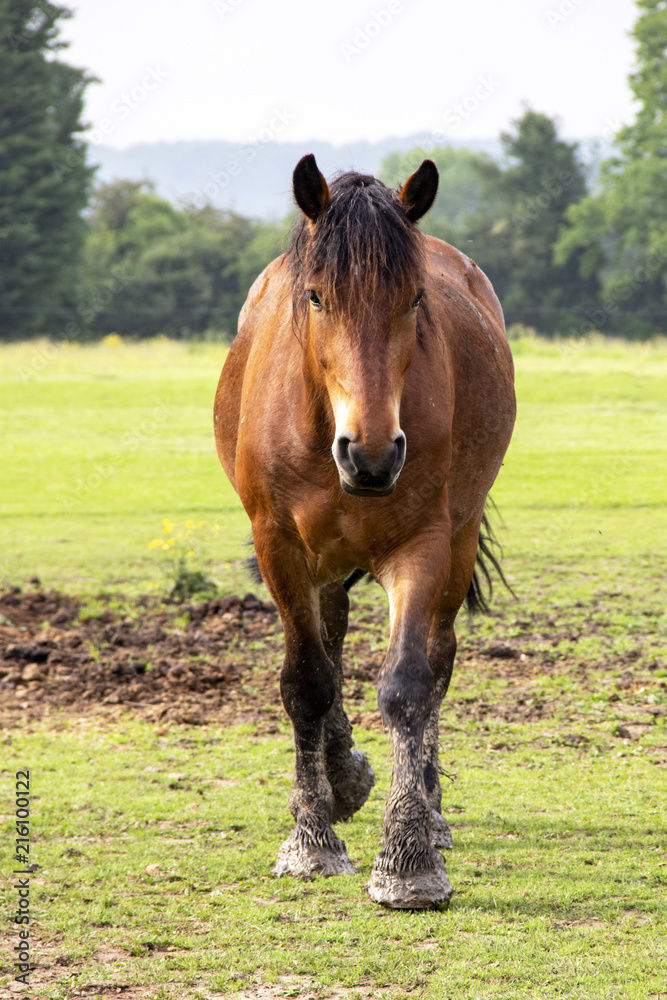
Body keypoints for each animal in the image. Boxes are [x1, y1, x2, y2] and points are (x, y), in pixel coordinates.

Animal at [214, 154, 516, 908]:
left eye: (415, 299)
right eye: (317, 297)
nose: (372, 455)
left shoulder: (423, 545)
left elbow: (408, 684)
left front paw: (407, 859)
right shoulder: (278, 545)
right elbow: (306, 681)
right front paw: (312, 837)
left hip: (457, 541)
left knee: (437, 659)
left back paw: (426, 811)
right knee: (330, 636)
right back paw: (339, 773)